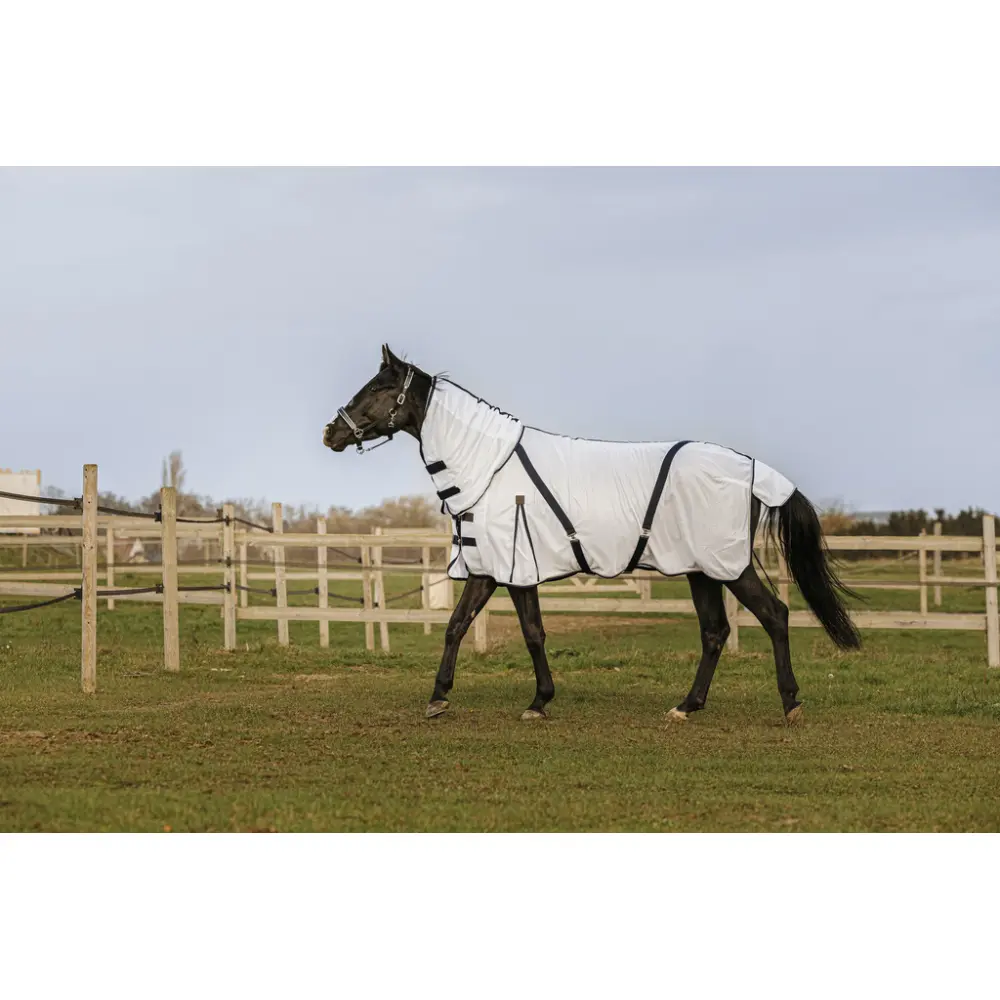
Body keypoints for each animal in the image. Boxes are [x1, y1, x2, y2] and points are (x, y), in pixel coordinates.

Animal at [323, 345, 860, 725]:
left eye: (375, 388)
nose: (332, 432)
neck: (490, 468)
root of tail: (754, 470)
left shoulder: (511, 567)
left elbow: (526, 633)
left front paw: (533, 701)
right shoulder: (493, 569)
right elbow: (464, 625)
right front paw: (444, 698)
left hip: (727, 565)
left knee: (775, 615)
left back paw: (790, 704)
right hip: (698, 569)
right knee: (715, 632)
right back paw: (687, 706)